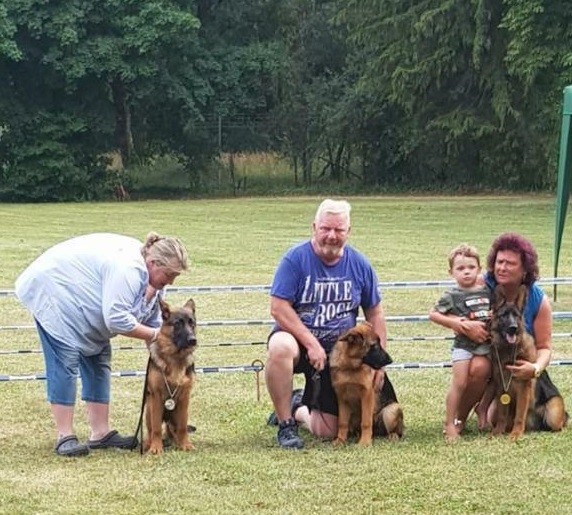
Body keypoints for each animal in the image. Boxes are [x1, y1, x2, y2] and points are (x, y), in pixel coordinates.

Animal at [143, 298, 197, 454]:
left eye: (192, 323)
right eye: (178, 323)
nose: (193, 340)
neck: (175, 357)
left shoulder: (185, 398)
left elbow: (183, 427)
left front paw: (185, 445)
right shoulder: (156, 397)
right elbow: (156, 428)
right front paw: (156, 448)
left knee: (173, 430)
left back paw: (176, 442)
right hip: (148, 411)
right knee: (151, 431)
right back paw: (148, 444)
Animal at [490, 285, 567, 439]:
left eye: (516, 316)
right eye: (504, 316)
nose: (513, 328)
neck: (509, 350)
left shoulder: (523, 388)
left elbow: (520, 415)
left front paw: (516, 434)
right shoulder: (501, 388)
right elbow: (502, 414)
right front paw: (498, 431)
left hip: (553, 413)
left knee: (560, 425)